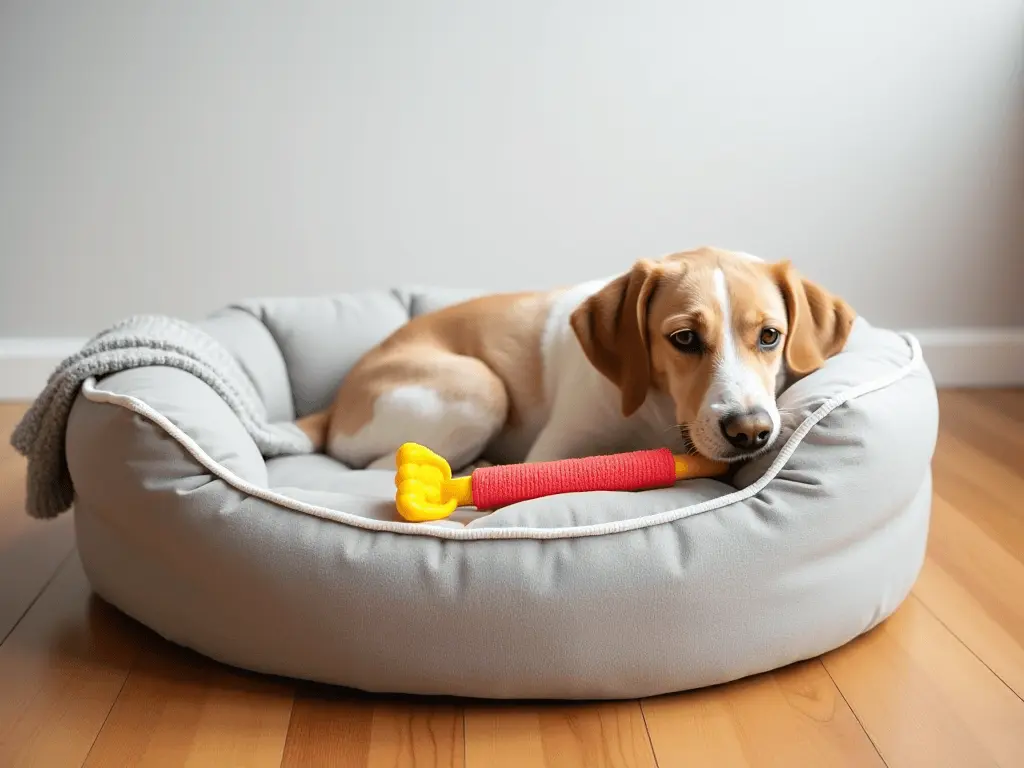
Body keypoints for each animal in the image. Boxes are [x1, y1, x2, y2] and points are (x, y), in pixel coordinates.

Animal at [296, 249, 856, 473]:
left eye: (769, 336)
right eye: (684, 338)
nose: (750, 432)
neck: (654, 410)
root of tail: (336, 404)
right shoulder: (552, 454)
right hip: (479, 388)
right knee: (378, 466)